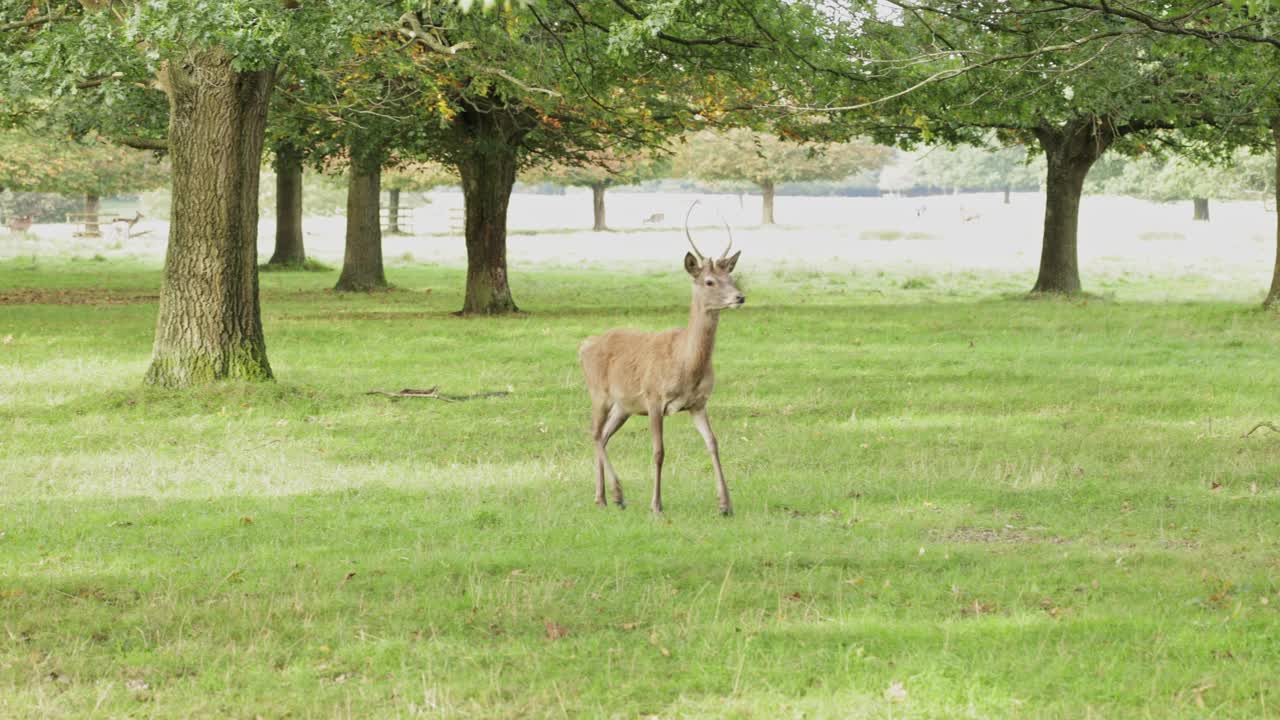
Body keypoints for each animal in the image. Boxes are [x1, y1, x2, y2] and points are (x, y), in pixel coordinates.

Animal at [578, 202, 747, 512]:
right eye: (709, 281)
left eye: (731, 277)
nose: (739, 297)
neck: (686, 364)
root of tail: (584, 345)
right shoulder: (654, 397)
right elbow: (658, 451)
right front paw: (656, 504)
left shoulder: (698, 403)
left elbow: (714, 443)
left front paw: (725, 504)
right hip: (599, 393)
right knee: (594, 433)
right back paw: (616, 493)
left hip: (624, 406)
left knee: (603, 436)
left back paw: (604, 497)